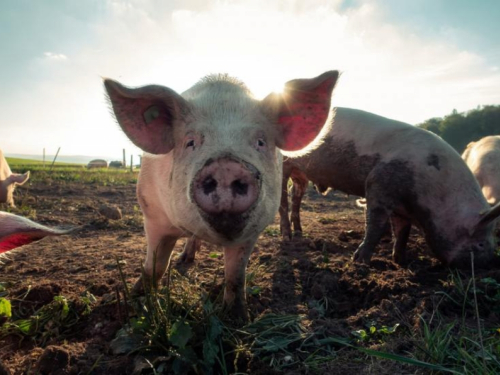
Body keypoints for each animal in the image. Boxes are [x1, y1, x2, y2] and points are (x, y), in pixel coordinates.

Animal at [105, 70, 340, 320]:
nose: (226, 167)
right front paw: (136, 301)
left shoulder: (252, 231)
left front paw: (237, 318)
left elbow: (235, 276)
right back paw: (184, 260)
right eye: (190, 142)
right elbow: (155, 265)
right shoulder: (152, 215)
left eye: (260, 141)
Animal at [280, 107, 500, 268]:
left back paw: (299, 233)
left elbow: (403, 232)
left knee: (295, 195)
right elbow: (375, 225)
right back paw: (287, 236)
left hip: (301, 174)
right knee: (282, 199)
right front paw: (359, 262)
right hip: (283, 164)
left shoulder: (402, 208)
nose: (490, 263)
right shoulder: (378, 185)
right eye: (480, 243)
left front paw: (401, 261)